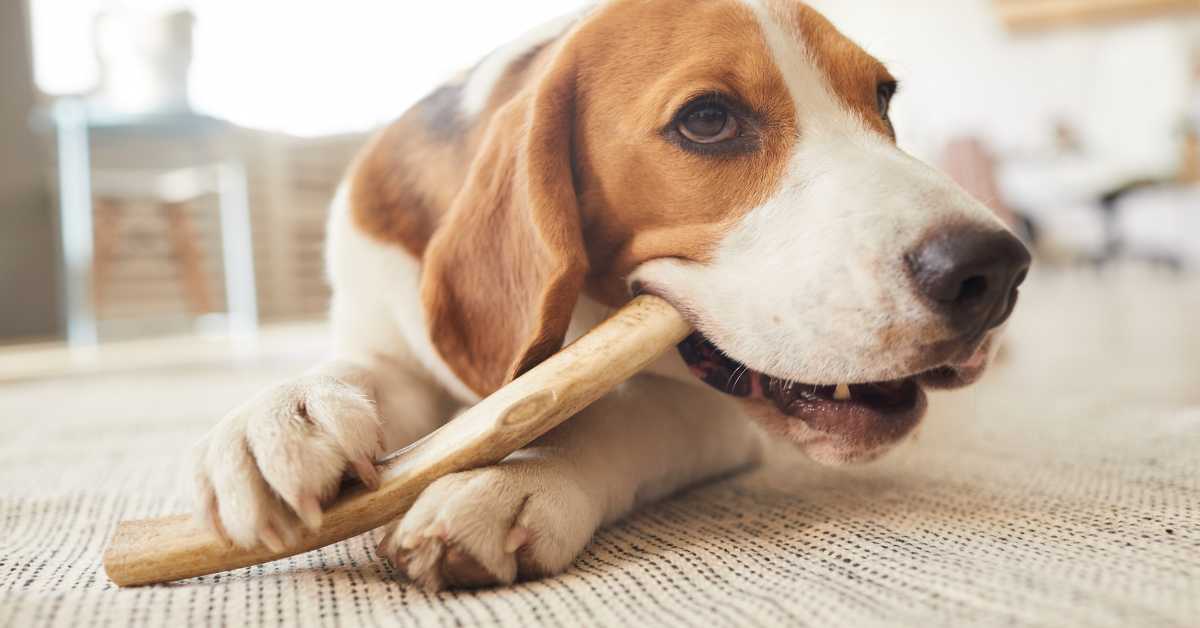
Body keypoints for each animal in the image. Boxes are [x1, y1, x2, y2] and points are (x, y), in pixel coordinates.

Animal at [189, 0, 1032, 593]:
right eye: (707, 120)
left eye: (883, 98)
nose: (994, 270)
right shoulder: (382, 334)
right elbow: (358, 375)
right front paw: (280, 418)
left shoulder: (708, 412)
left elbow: (618, 415)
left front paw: (514, 478)